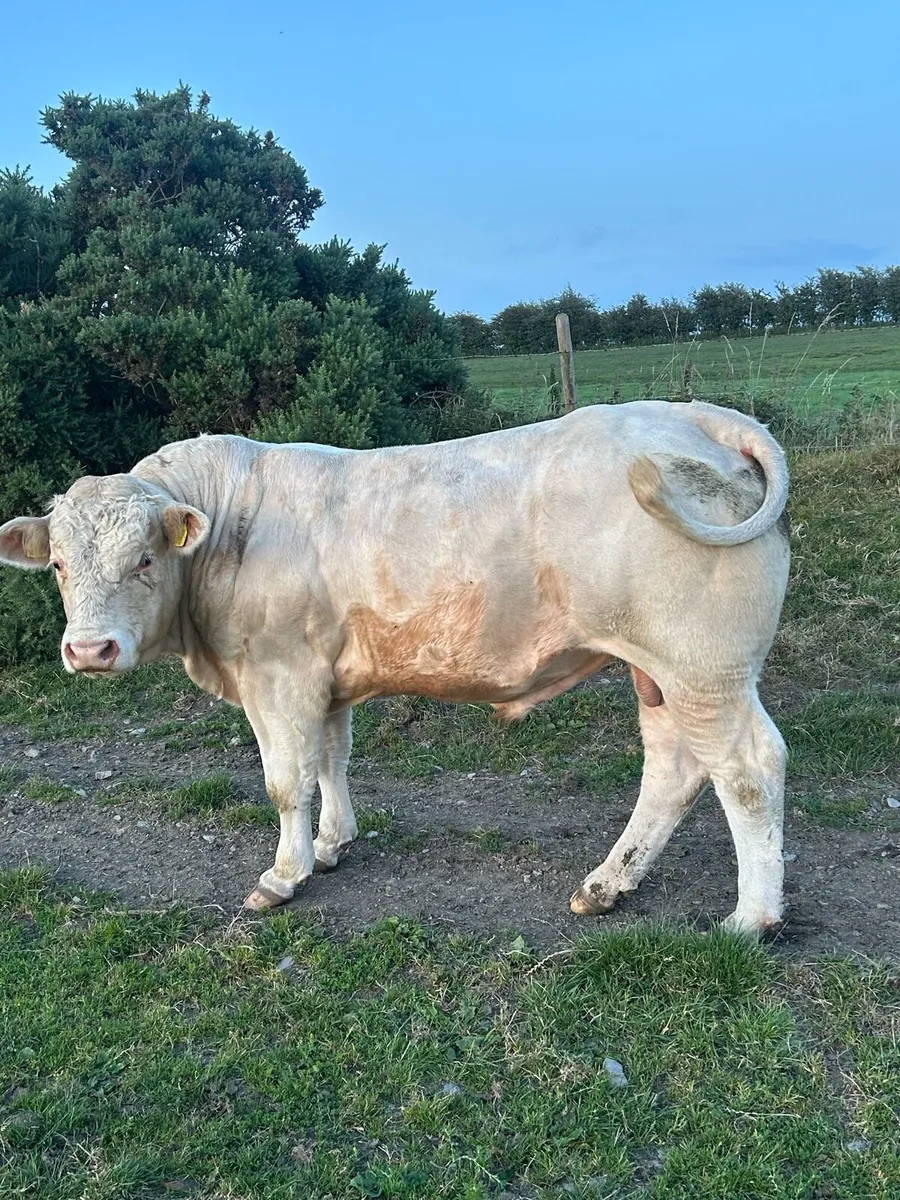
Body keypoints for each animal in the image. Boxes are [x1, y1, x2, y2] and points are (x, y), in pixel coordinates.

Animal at [0, 400, 791, 933]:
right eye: (60, 565)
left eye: (145, 558)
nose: (89, 651)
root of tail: (693, 414)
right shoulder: (324, 678)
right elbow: (330, 761)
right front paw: (330, 845)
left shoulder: (279, 675)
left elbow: (286, 781)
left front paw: (283, 874)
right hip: (660, 673)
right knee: (674, 768)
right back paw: (606, 885)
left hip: (704, 669)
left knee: (748, 770)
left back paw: (751, 919)